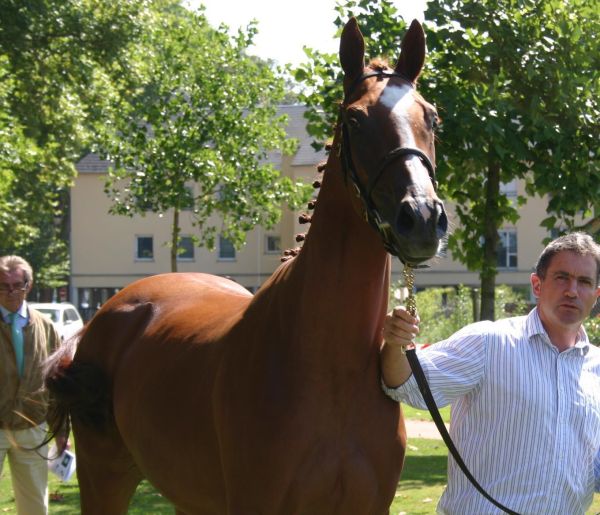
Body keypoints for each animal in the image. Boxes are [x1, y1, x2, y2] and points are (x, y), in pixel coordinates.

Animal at [44, 18, 446, 515]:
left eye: (432, 117)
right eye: (355, 119)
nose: (422, 217)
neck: (329, 370)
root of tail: (104, 317)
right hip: (104, 476)